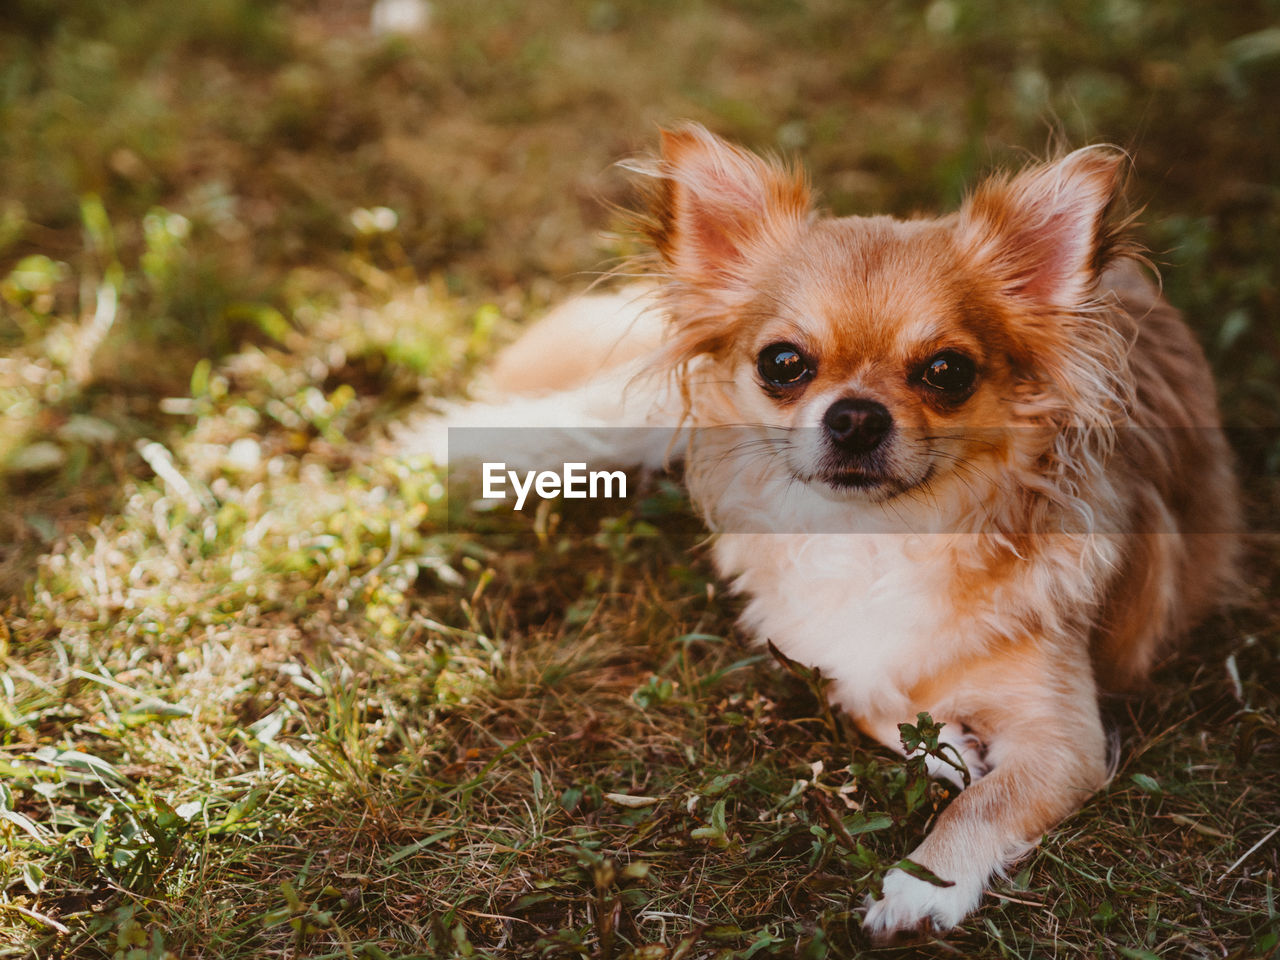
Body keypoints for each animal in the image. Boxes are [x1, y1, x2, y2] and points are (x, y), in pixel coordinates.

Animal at [409, 124, 1239, 942]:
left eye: (947, 371)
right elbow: (860, 690)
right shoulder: (813, 640)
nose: (856, 415)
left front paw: (922, 883)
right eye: (783, 363)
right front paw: (946, 751)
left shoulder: (1066, 743)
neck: (875, 535)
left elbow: (984, 802)